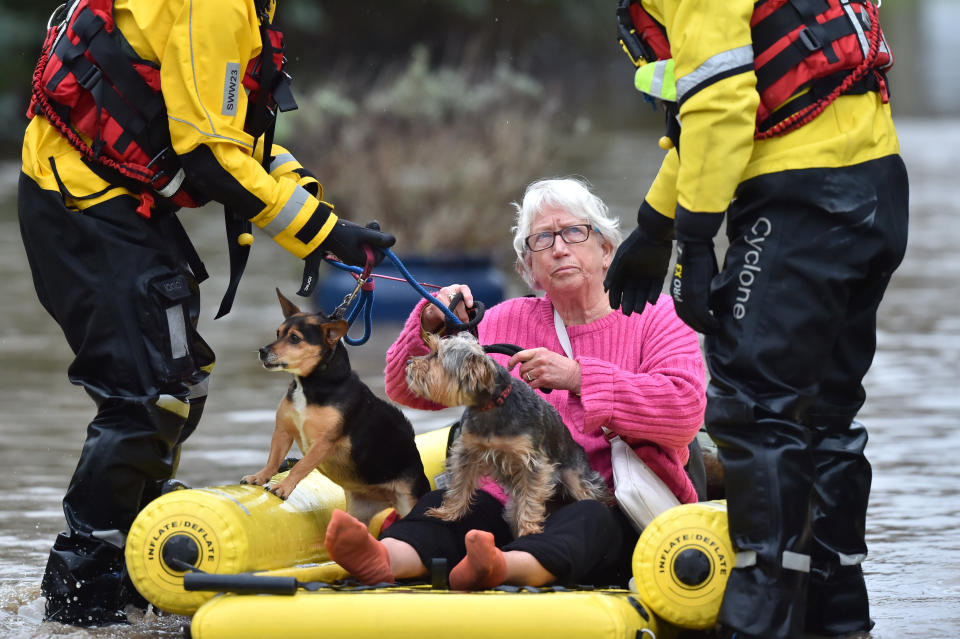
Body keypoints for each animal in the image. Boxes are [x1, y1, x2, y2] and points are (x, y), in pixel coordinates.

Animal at [242, 290, 430, 524]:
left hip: (408, 502)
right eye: (278, 333)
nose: (262, 351)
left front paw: (282, 488)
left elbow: (301, 466)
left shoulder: (323, 442)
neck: (312, 384)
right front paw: (259, 477)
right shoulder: (283, 430)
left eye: (295, 338)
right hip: (357, 513)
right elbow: (273, 459)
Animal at [406, 332, 616, 536]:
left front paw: (529, 530)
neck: (491, 407)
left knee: (592, 493)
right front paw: (448, 513)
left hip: (576, 477)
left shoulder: (532, 462)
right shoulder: (467, 452)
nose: (408, 363)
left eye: (436, 355)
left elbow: (530, 496)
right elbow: (460, 484)